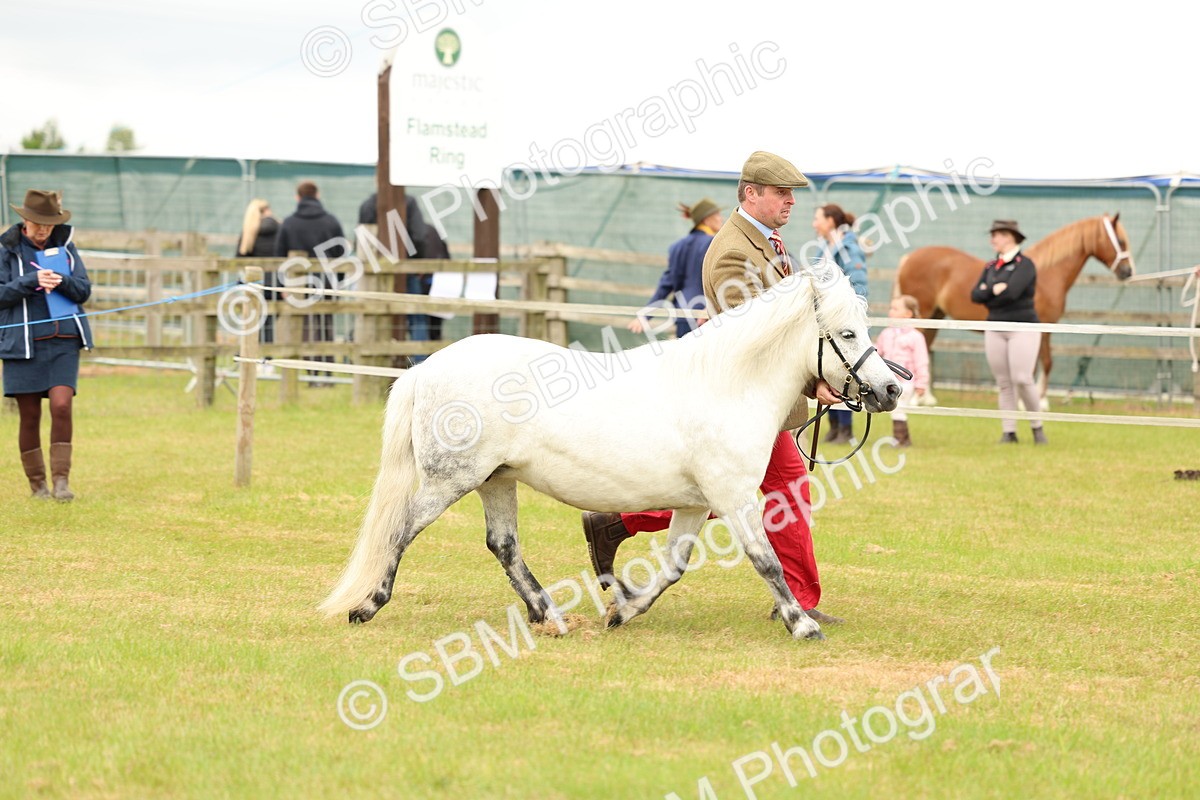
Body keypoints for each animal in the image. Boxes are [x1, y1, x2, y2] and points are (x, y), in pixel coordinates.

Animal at [318, 267, 901, 641]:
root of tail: (425, 369)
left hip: (496, 480)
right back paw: (367, 606)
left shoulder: (696, 504)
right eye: (848, 332)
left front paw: (623, 609)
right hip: (450, 481)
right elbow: (767, 561)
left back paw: (549, 615)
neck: (727, 385)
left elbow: (673, 568)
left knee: (503, 545)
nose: (891, 390)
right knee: (401, 531)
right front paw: (802, 623)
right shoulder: (734, 498)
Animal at [894, 214, 1135, 401]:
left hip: (935, 316)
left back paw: (926, 398)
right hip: (924, 314)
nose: (1128, 271)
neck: (1045, 275)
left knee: (925, 348)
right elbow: (1043, 363)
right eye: (1121, 241)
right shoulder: (1042, 328)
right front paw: (1038, 402)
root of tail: (908, 258)